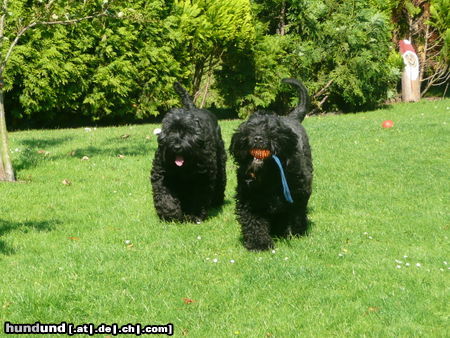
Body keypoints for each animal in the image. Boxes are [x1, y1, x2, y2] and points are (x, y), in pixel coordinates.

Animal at [151, 83, 227, 223]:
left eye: (188, 131)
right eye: (170, 130)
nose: (176, 146)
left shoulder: (203, 177)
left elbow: (199, 197)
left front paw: (195, 215)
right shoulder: (162, 175)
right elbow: (165, 196)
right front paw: (170, 214)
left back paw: (217, 201)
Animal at [230, 78, 312, 250]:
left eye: (271, 130)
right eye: (249, 128)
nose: (257, 138)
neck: (269, 176)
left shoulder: (298, 195)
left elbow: (296, 215)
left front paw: (294, 233)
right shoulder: (249, 199)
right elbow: (253, 222)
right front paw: (259, 243)